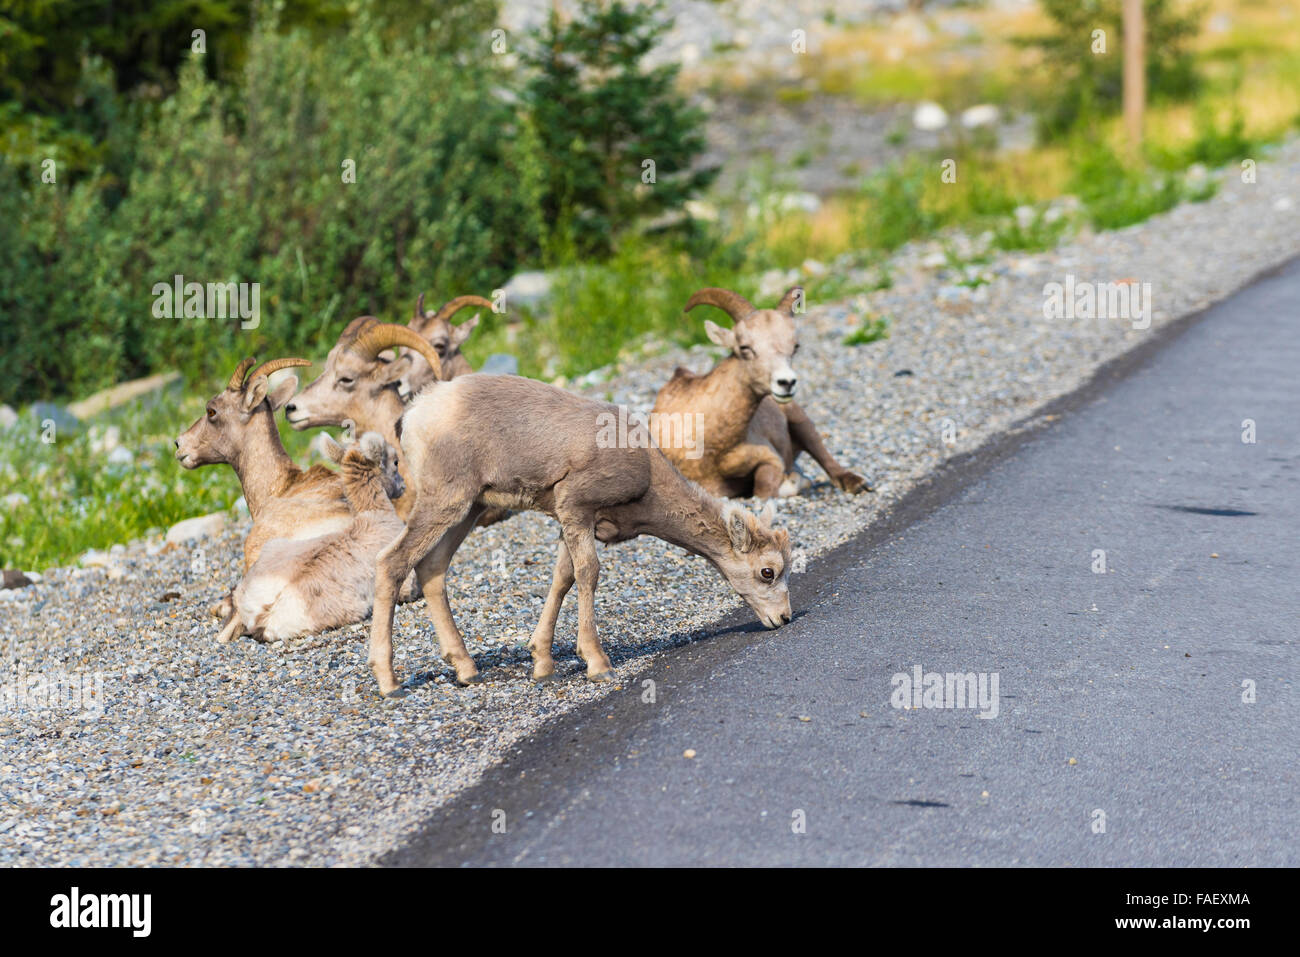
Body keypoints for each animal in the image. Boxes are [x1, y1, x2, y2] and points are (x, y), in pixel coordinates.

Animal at [364, 371, 790, 696]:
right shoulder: (576, 507)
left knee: (433, 568)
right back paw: (389, 683)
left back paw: (467, 670)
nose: (783, 618)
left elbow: (563, 578)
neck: (647, 474)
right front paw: (597, 664)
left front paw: (542, 663)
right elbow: (588, 574)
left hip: (471, 507)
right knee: (392, 561)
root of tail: (414, 414)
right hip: (446, 500)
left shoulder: (574, 523)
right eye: (767, 572)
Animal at [650, 286, 873, 496]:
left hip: (801, 421)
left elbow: (764, 489)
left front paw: (793, 481)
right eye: (744, 347)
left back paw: (857, 483)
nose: (786, 382)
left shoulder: (770, 460)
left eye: (795, 346)